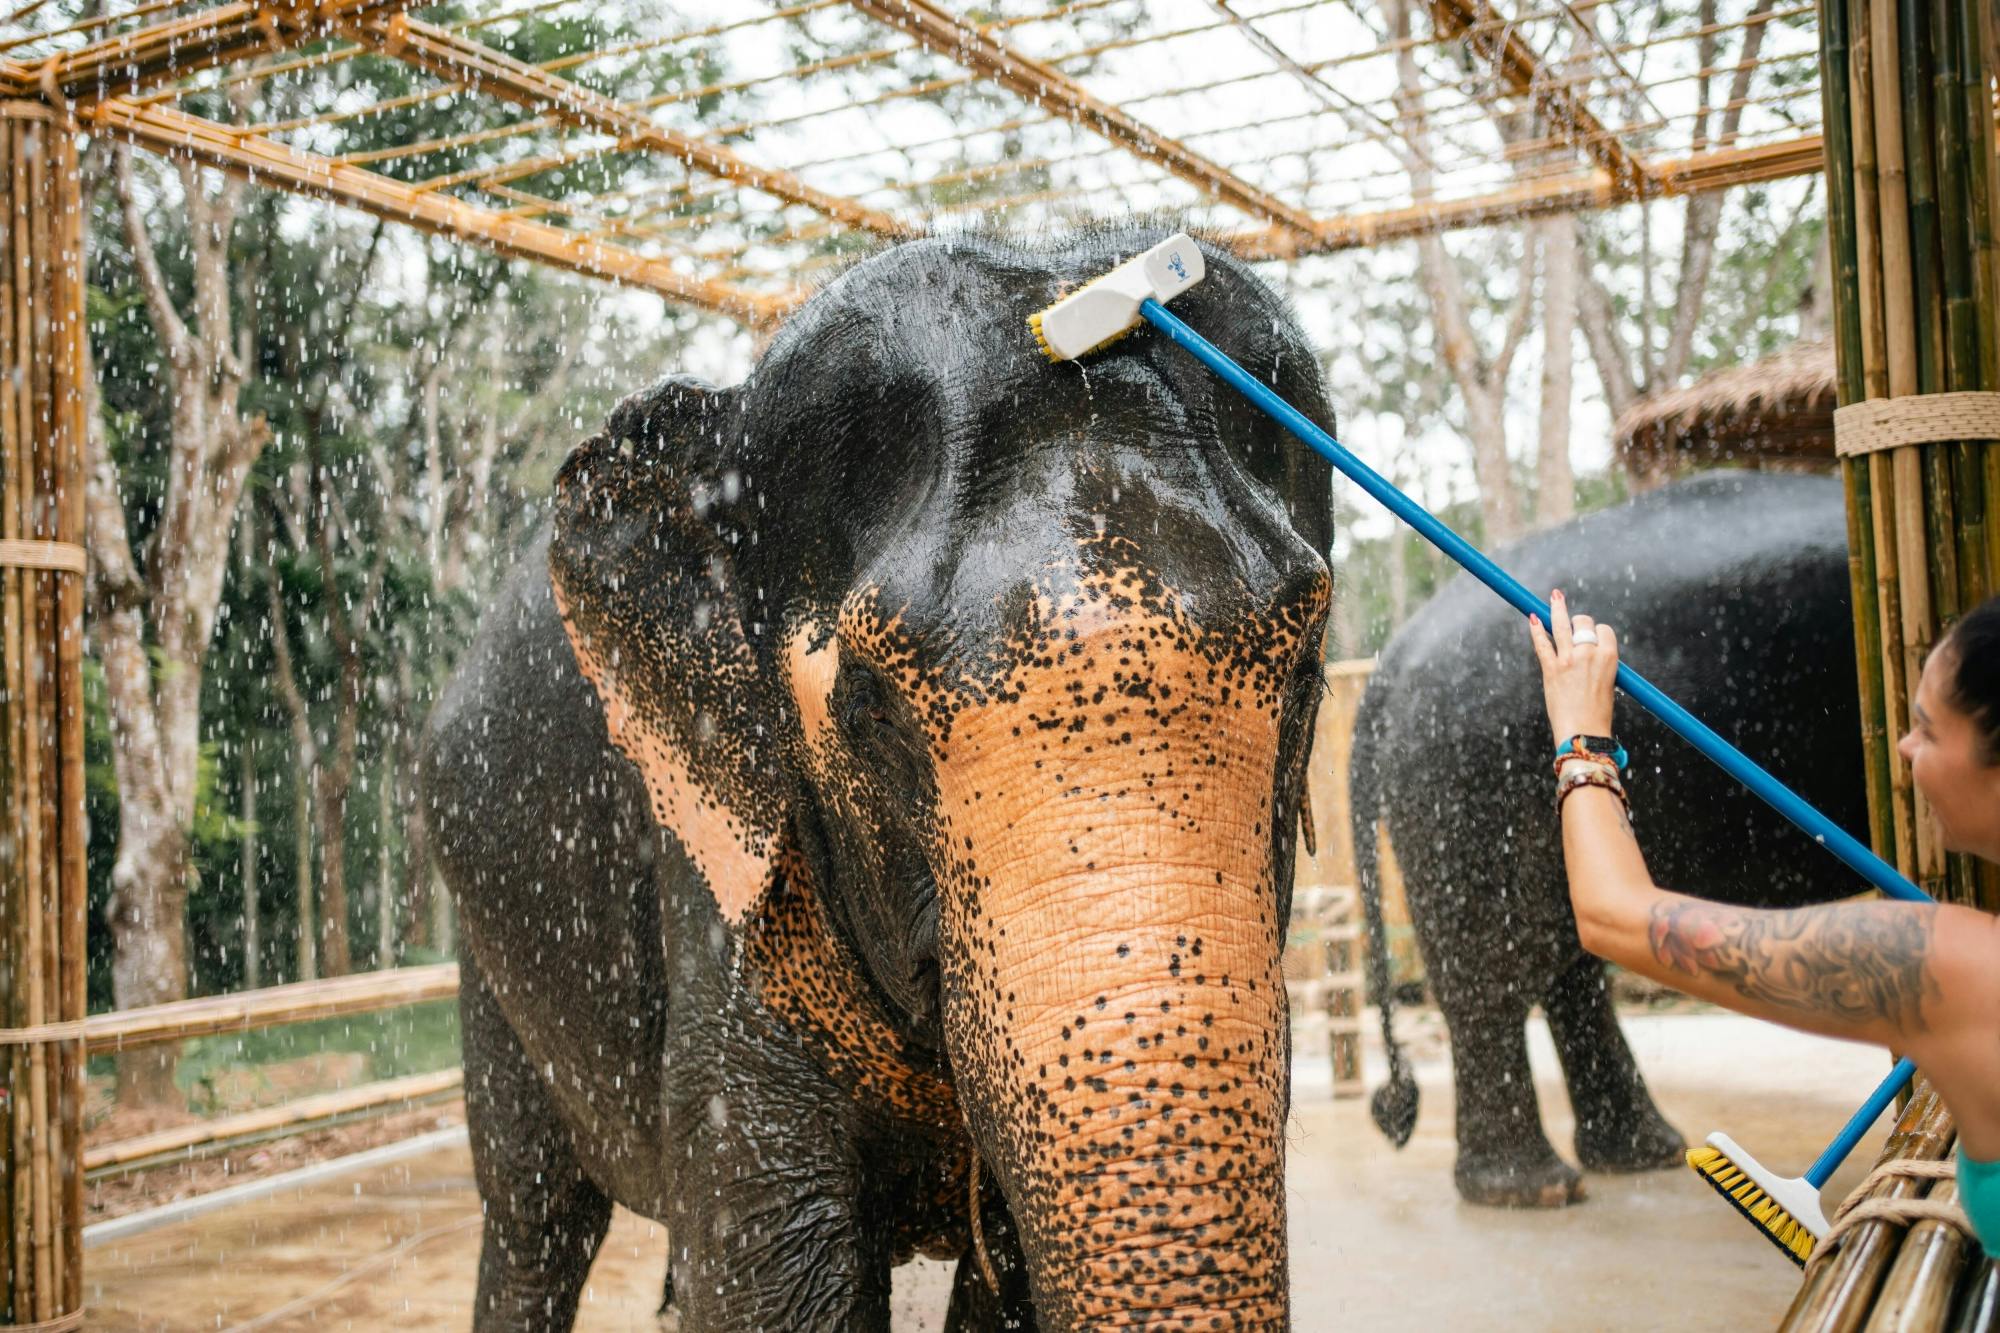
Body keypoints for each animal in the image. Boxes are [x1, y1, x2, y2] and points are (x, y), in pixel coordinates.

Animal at [420, 227, 1339, 1331]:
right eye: (869, 709)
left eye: (1304, 674)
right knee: (535, 1218)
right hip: (489, 961)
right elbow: (771, 1280)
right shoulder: (729, 883)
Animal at [1350, 470, 1867, 1208]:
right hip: (1467, 777)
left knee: (1565, 956)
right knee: (1496, 967)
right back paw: (1536, 1191)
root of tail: (1389, 662)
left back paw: (1643, 1155)